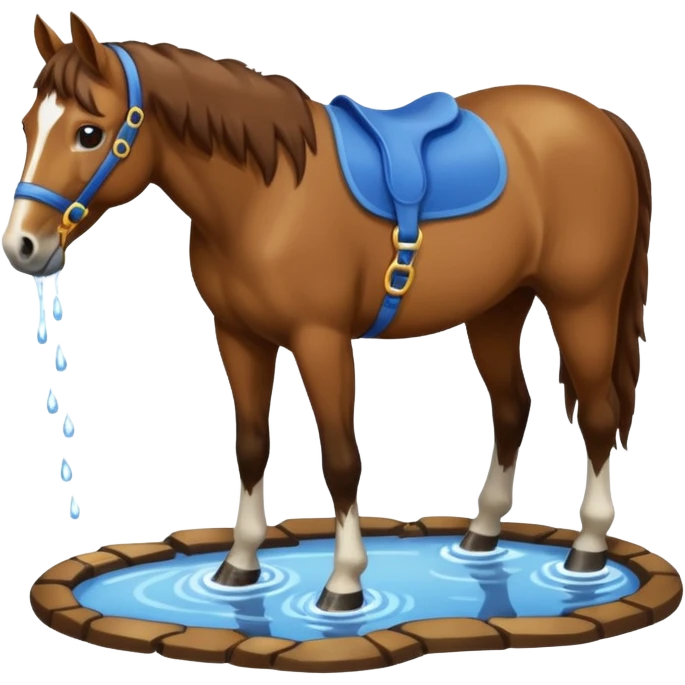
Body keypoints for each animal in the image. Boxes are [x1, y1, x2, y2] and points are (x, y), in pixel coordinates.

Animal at [3, 12, 651, 613]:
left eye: (89, 132)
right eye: (30, 125)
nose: (23, 246)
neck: (265, 197)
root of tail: (604, 121)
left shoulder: (321, 340)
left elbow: (340, 459)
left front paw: (343, 583)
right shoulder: (239, 337)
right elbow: (251, 447)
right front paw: (238, 565)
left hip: (582, 303)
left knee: (598, 414)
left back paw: (588, 549)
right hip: (496, 307)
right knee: (514, 407)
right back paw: (482, 534)